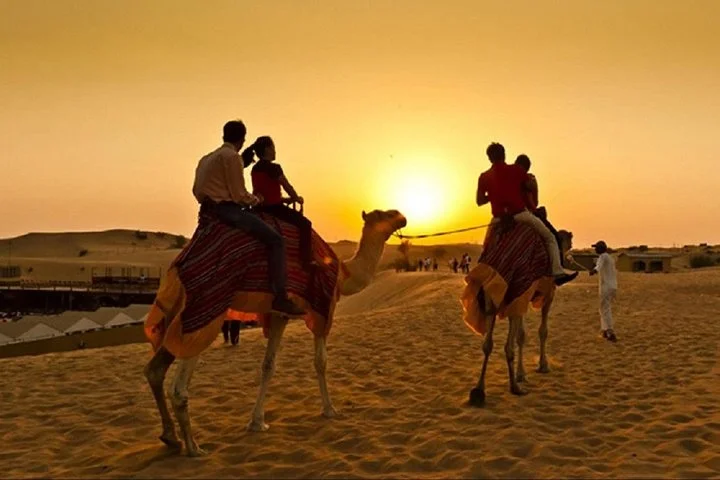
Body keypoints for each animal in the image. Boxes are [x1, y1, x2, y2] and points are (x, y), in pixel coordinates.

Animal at [144, 209, 407, 456]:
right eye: (383, 214)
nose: (402, 217)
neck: (342, 273)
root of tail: (177, 266)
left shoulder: (279, 314)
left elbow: (268, 365)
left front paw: (257, 421)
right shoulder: (320, 311)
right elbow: (321, 362)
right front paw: (330, 410)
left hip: (177, 312)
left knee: (155, 370)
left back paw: (170, 437)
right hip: (205, 309)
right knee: (179, 386)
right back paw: (193, 447)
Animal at [466, 228, 574, 406]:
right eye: (567, 242)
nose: (568, 255)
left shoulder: (520, 300)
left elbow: (521, 336)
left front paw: (521, 374)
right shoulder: (547, 294)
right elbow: (542, 331)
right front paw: (543, 366)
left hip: (491, 299)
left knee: (488, 344)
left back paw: (478, 390)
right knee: (507, 346)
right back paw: (515, 388)